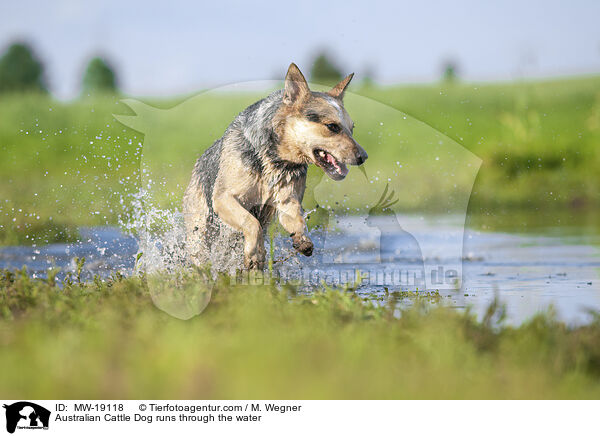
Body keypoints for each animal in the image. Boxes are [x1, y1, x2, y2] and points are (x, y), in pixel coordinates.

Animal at [180, 63, 368, 270]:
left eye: (352, 129)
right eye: (332, 126)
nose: (363, 157)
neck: (276, 159)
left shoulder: (288, 201)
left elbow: (297, 221)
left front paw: (302, 240)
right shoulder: (223, 198)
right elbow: (251, 222)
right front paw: (254, 253)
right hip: (200, 229)